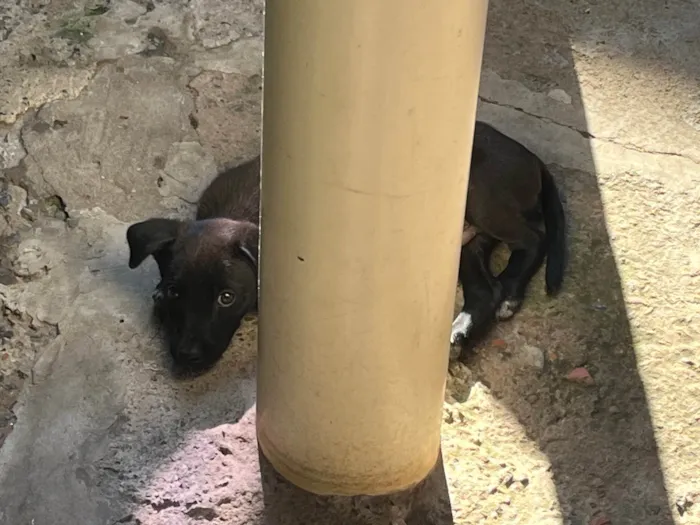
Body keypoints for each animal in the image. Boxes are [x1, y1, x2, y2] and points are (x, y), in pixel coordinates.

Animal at [448, 121, 568, 354]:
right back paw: (460, 333)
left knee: (534, 239)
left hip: (479, 198)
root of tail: (534, 159)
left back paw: (511, 294)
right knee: (486, 290)